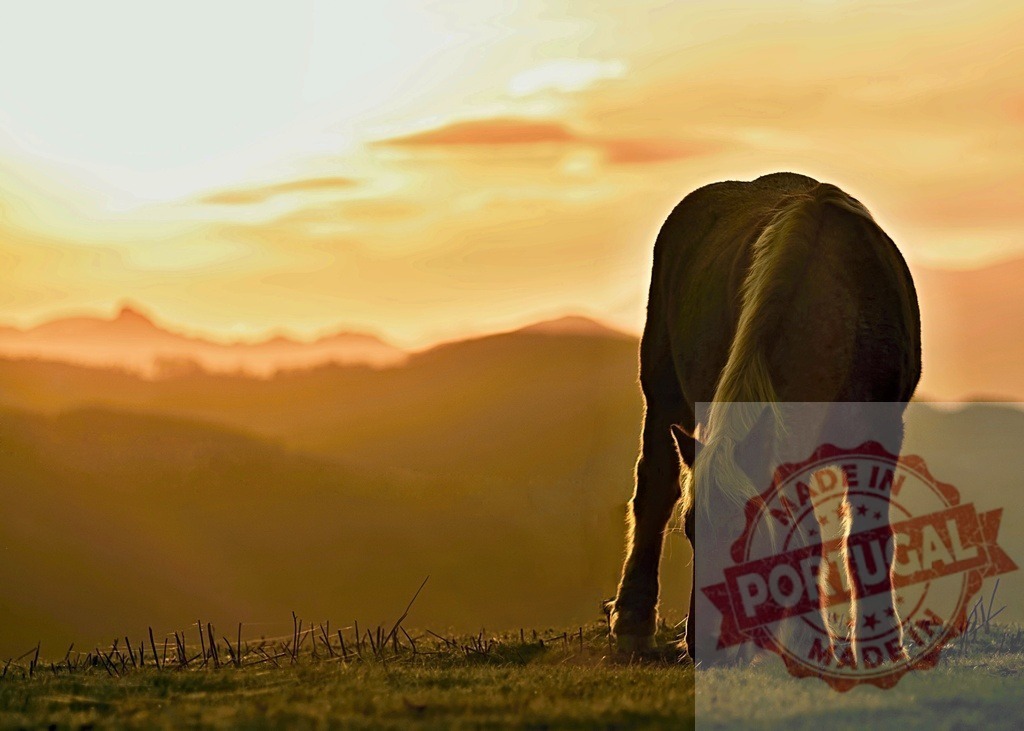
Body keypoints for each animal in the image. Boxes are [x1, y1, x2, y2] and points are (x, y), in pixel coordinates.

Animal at [607, 172, 921, 664]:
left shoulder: (880, 433)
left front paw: (881, 645)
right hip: (661, 390)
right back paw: (632, 625)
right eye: (692, 531)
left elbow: (862, 535)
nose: (704, 648)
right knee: (655, 489)